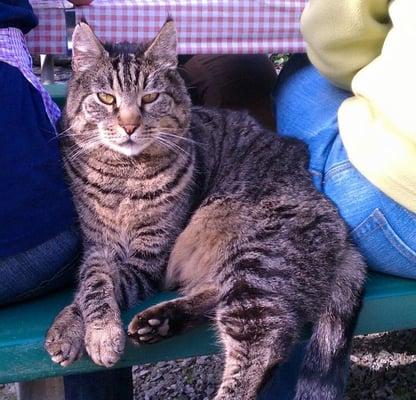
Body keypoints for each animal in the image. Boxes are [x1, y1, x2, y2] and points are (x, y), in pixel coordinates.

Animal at [44, 20, 366, 398]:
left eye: (150, 97)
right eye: (106, 98)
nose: (129, 125)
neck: (124, 173)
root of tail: (342, 230)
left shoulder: (148, 258)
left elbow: (110, 283)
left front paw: (99, 336)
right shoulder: (98, 247)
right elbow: (91, 284)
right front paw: (70, 327)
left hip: (254, 260)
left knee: (263, 345)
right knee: (214, 294)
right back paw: (160, 321)